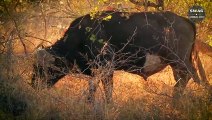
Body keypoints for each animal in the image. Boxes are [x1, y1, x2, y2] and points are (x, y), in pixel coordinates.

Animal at [31, 11, 207, 103]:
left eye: (42, 68)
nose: (33, 85)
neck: (82, 35)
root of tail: (185, 20)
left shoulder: (105, 68)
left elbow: (102, 91)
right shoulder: (100, 71)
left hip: (180, 60)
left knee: (190, 77)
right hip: (175, 63)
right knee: (181, 80)